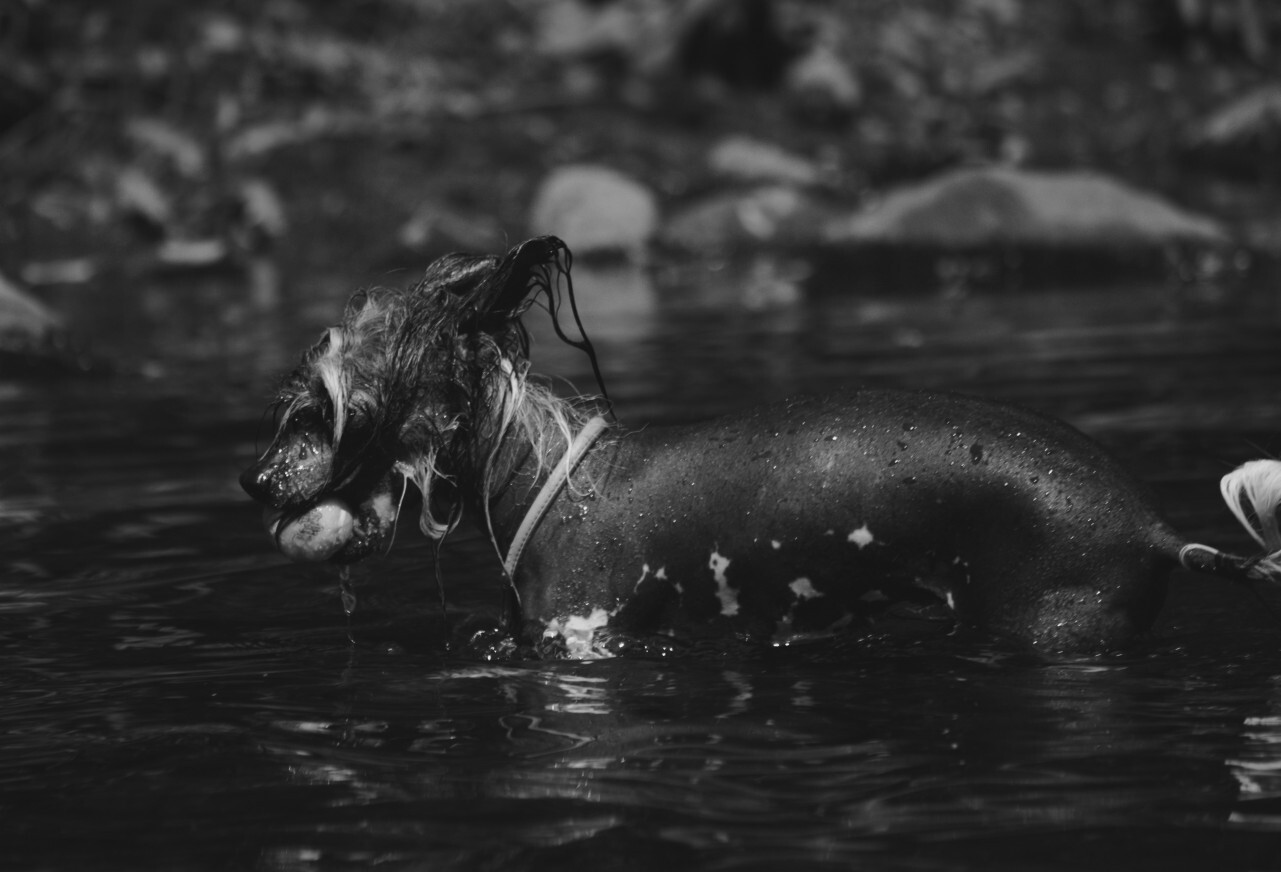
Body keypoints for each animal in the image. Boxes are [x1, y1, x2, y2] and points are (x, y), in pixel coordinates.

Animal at [242, 234, 1281, 655]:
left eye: (319, 409)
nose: (252, 481)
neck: (545, 478)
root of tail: (1152, 530)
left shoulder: (585, 635)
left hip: (1048, 625)